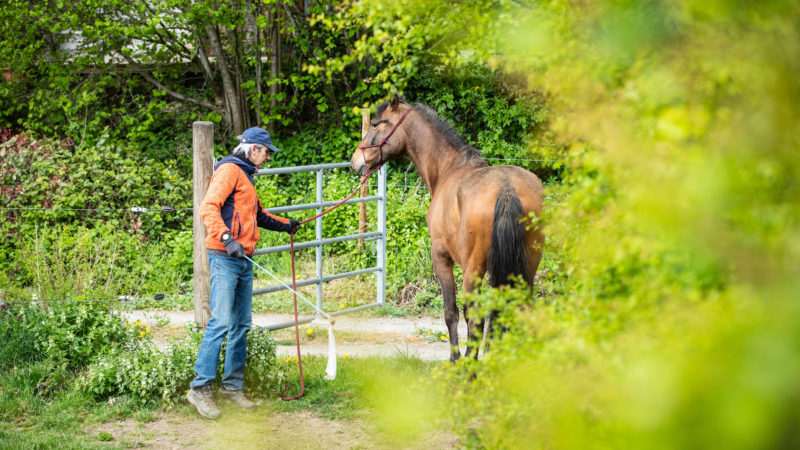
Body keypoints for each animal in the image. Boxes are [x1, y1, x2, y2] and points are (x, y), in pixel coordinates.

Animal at [350, 96, 544, 362]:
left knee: (475, 318)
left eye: (376, 124)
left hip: (473, 270)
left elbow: (451, 312)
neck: (449, 169)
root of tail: (506, 187)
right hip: (527, 265)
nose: (355, 161)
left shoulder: (441, 258)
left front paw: (455, 359)